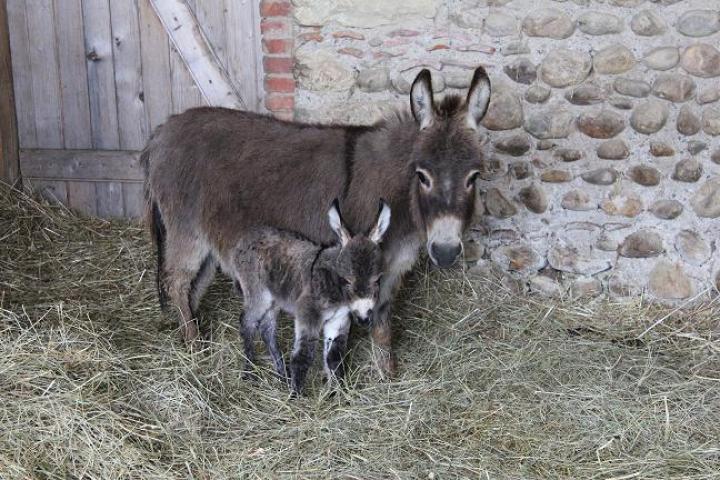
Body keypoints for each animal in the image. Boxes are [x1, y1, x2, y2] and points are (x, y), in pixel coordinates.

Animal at [231, 199, 390, 394]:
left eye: (378, 279)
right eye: (346, 280)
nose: (364, 319)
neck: (337, 292)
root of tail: (247, 236)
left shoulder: (338, 320)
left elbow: (334, 357)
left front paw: (337, 391)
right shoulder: (308, 315)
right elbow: (303, 356)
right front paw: (296, 396)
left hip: (275, 299)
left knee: (266, 329)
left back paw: (282, 373)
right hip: (258, 294)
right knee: (247, 323)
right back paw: (249, 371)